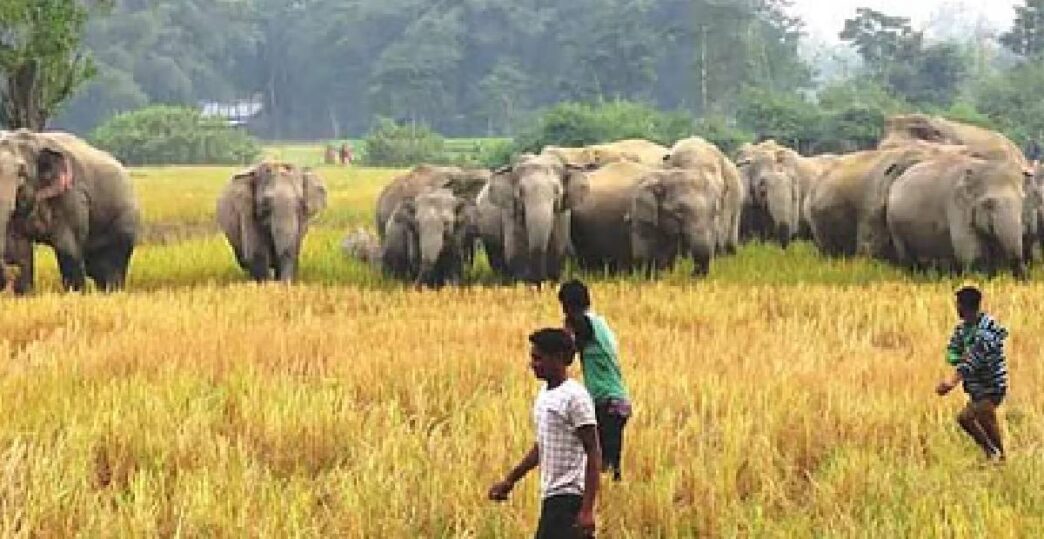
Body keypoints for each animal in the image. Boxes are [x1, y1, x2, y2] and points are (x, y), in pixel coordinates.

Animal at [0, 130, 140, 293]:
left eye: (22, 173)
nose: (8, 269)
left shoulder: (72, 196)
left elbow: (68, 248)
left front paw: (76, 293)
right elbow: (19, 249)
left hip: (124, 220)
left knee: (111, 267)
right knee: (97, 270)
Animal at [484, 153, 591, 284]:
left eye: (557, 191)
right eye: (520, 192)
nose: (541, 279)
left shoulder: (562, 214)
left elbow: (558, 248)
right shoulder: (510, 213)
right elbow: (514, 251)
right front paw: (525, 282)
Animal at [887, 155, 1027, 278]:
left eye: (1022, 200)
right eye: (988, 204)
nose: (1022, 277)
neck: (981, 166)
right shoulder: (955, 205)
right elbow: (967, 248)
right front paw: (977, 278)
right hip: (894, 224)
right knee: (905, 254)